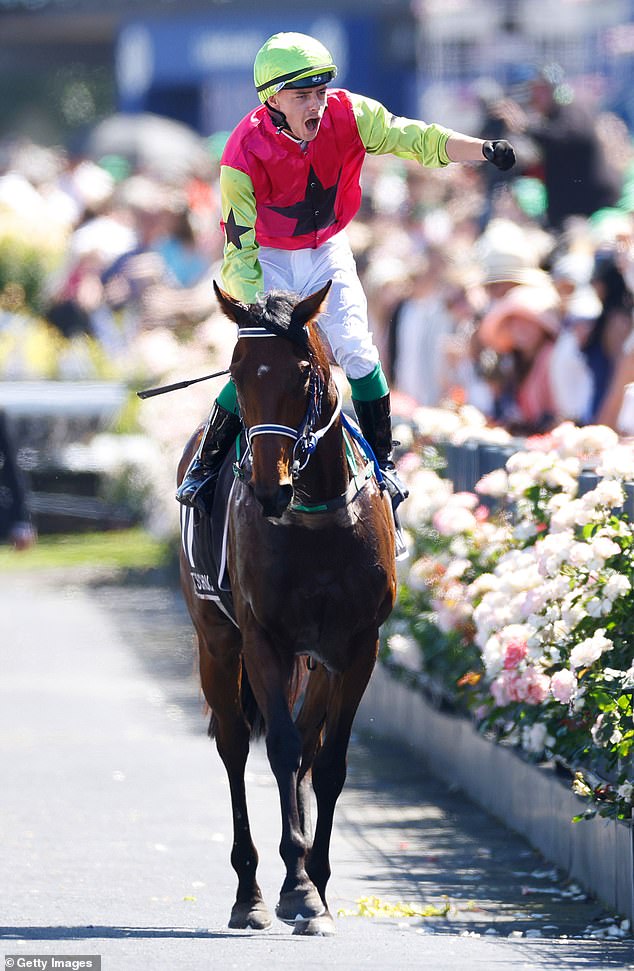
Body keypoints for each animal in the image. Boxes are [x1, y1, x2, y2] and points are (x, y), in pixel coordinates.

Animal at [178, 280, 396, 936]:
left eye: (302, 374)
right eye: (235, 373)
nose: (269, 488)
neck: (316, 515)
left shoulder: (356, 646)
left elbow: (327, 763)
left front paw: (314, 887)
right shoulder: (262, 639)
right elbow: (277, 748)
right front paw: (295, 887)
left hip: (318, 660)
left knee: (306, 742)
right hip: (216, 643)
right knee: (232, 745)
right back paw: (249, 889)